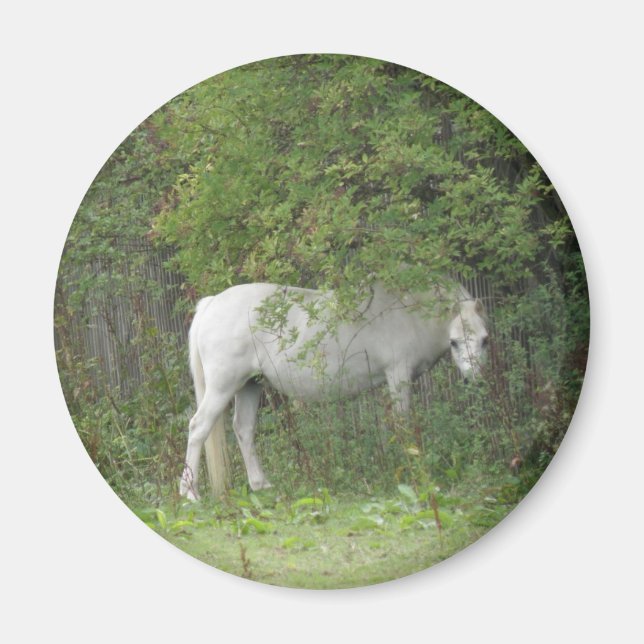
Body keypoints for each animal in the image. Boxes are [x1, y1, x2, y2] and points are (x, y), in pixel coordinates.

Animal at [179, 281, 489, 500]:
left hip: (250, 386)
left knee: (244, 429)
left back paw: (261, 485)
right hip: (222, 387)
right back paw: (190, 493)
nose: (475, 380)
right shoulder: (398, 374)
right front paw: (410, 465)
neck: (407, 311)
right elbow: (402, 423)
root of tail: (211, 303)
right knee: (198, 427)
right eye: (455, 342)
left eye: (484, 340)